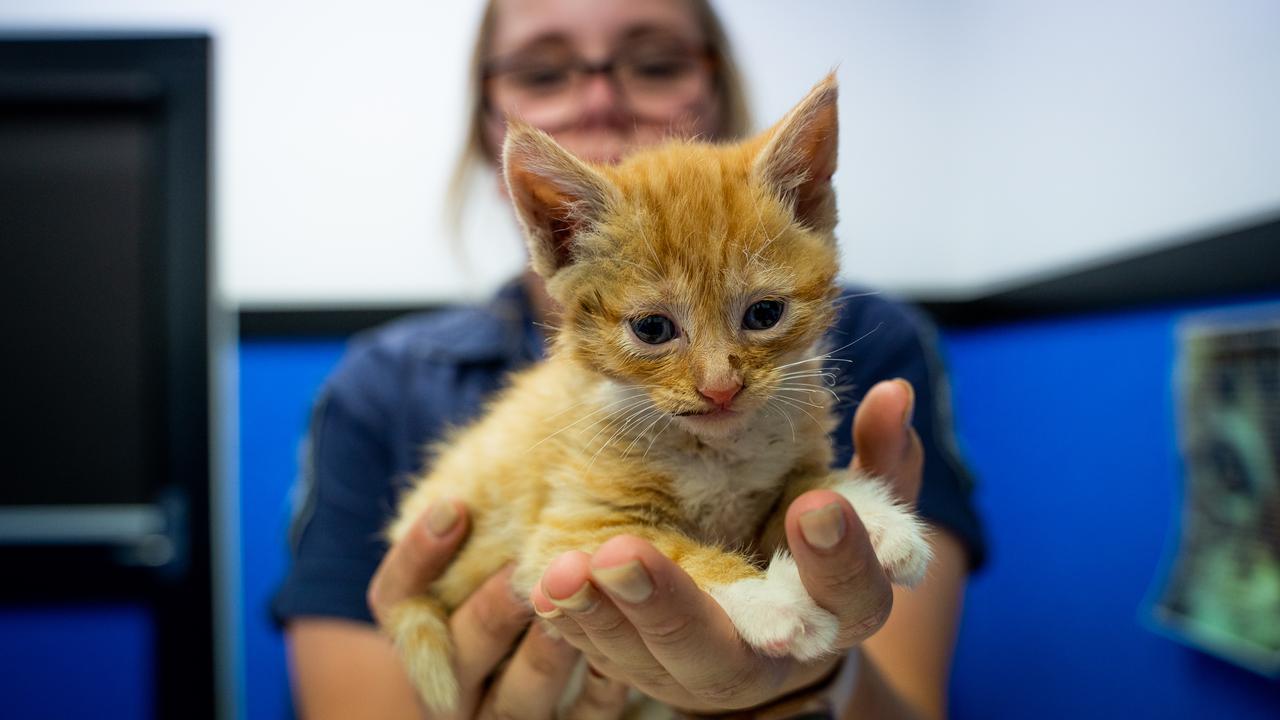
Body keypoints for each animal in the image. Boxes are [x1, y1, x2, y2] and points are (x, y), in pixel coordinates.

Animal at [381, 75, 931, 707]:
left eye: (764, 314)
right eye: (652, 329)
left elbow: (806, 488)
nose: (721, 388)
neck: (713, 450)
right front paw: (769, 600)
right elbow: (676, 552)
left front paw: (875, 515)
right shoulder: (569, 532)